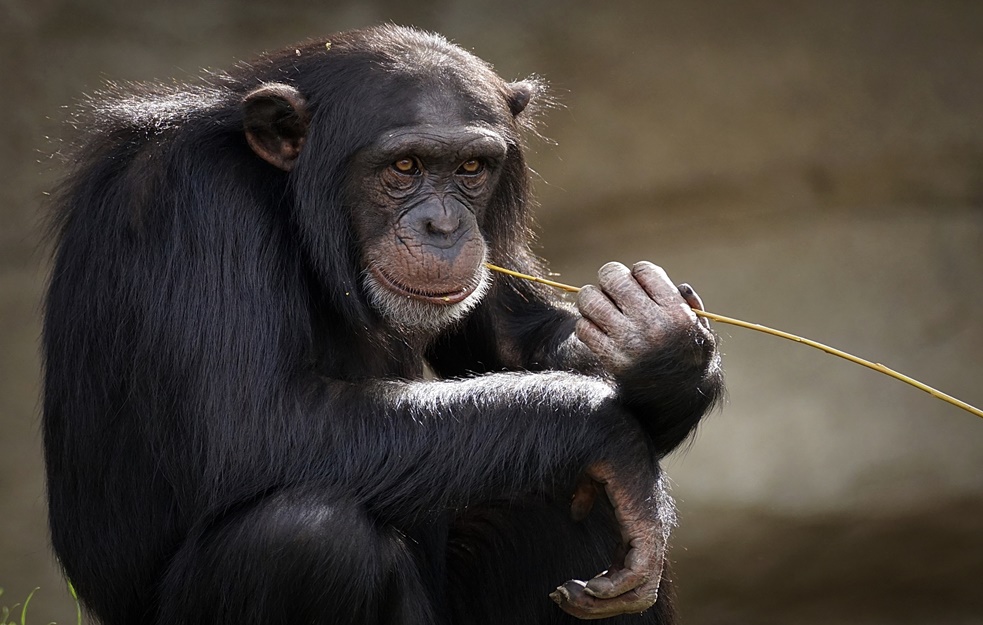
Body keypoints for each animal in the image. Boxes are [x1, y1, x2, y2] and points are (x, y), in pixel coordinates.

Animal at [44, 24, 724, 624]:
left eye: (471, 168)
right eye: (404, 167)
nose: (444, 226)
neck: (286, 197)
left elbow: (514, 340)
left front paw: (661, 347)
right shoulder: (197, 201)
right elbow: (250, 424)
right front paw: (610, 434)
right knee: (305, 536)